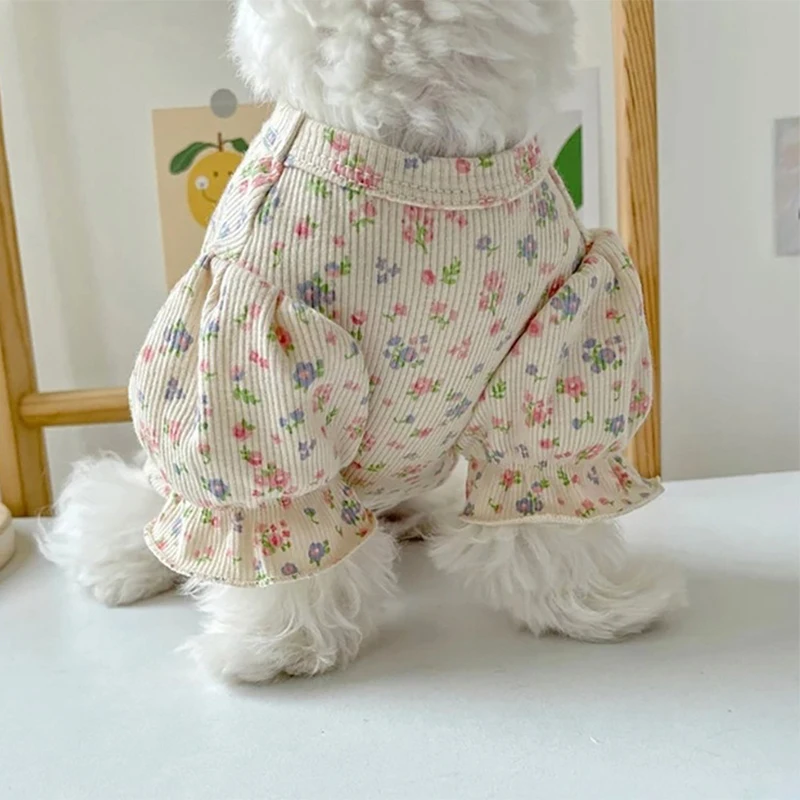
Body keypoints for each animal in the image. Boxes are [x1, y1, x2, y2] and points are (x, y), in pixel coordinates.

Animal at [39, 0, 683, 683]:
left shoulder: (566, 328)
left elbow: (547, 495)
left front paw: (590, 605)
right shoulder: (248, 340)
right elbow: (276, 518)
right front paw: (283, 644)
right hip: (164, 463)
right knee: (133, 505)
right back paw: (119, 565)